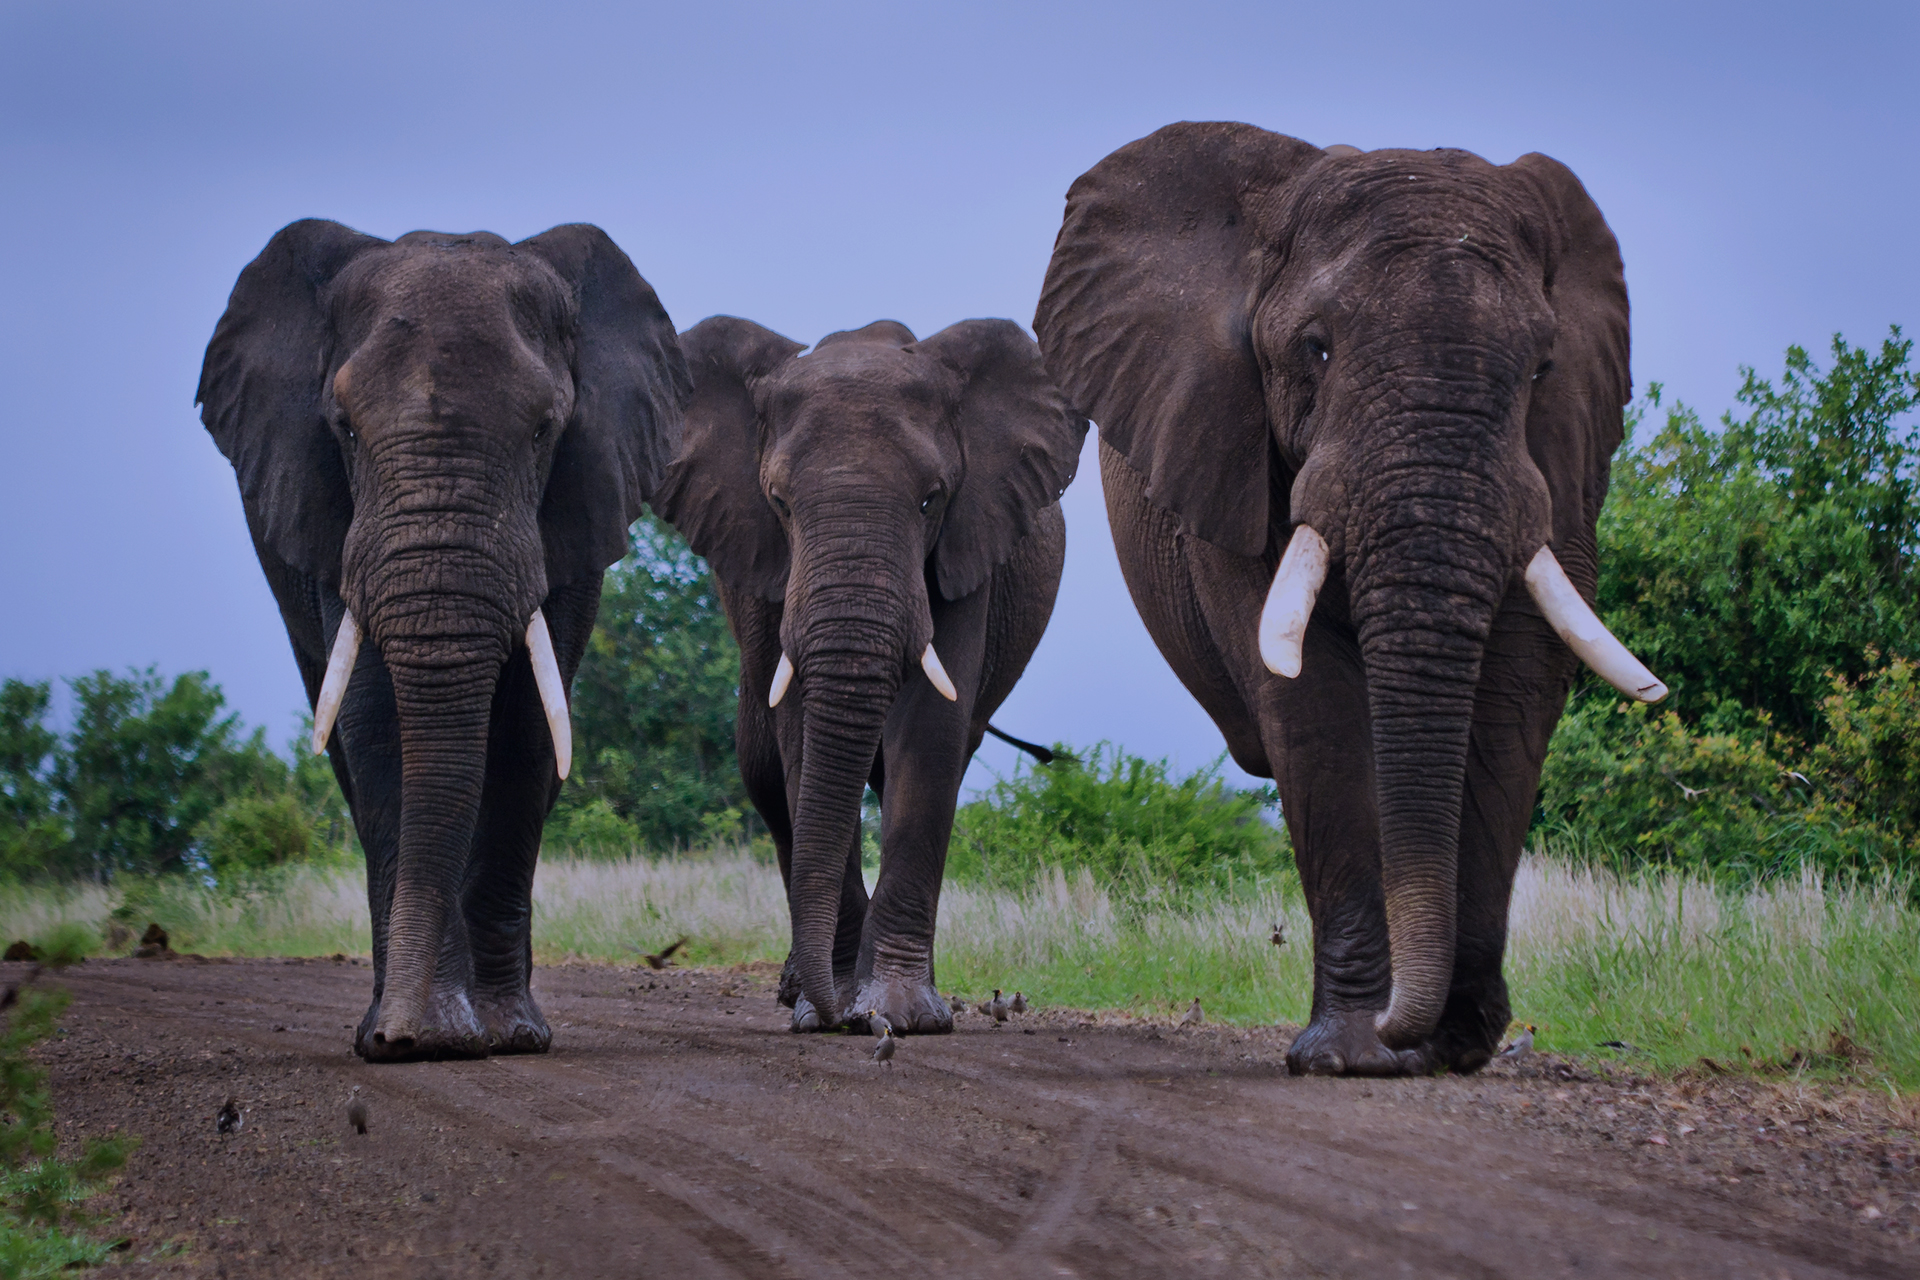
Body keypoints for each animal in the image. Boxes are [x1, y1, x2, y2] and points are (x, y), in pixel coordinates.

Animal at [197, 220, 688, 1060]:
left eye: (544, 431)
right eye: (343, 429)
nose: (398, 1035)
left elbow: (527, 727)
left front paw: (506, 1035)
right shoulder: (332, 516)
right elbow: (376, 723)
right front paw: (421, 1036)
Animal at [654, 316, 1086, 1033]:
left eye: (930, 500)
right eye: (780, 502)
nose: (839, 1016)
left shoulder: (968, 545)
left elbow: (931, 734)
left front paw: (899, 1013)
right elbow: (799, 739)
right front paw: (826, 1007)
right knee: (764, 773)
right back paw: (799, 990)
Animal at [1034, 123, 1667, 1076]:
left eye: (1541, 369)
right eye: (1317, 348)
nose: (1419, 1029)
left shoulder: (1566, 467)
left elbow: (1517, 688)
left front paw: (1452, 1044)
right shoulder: (1232, 451)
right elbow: (1316, 704)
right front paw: (1353, 1054)